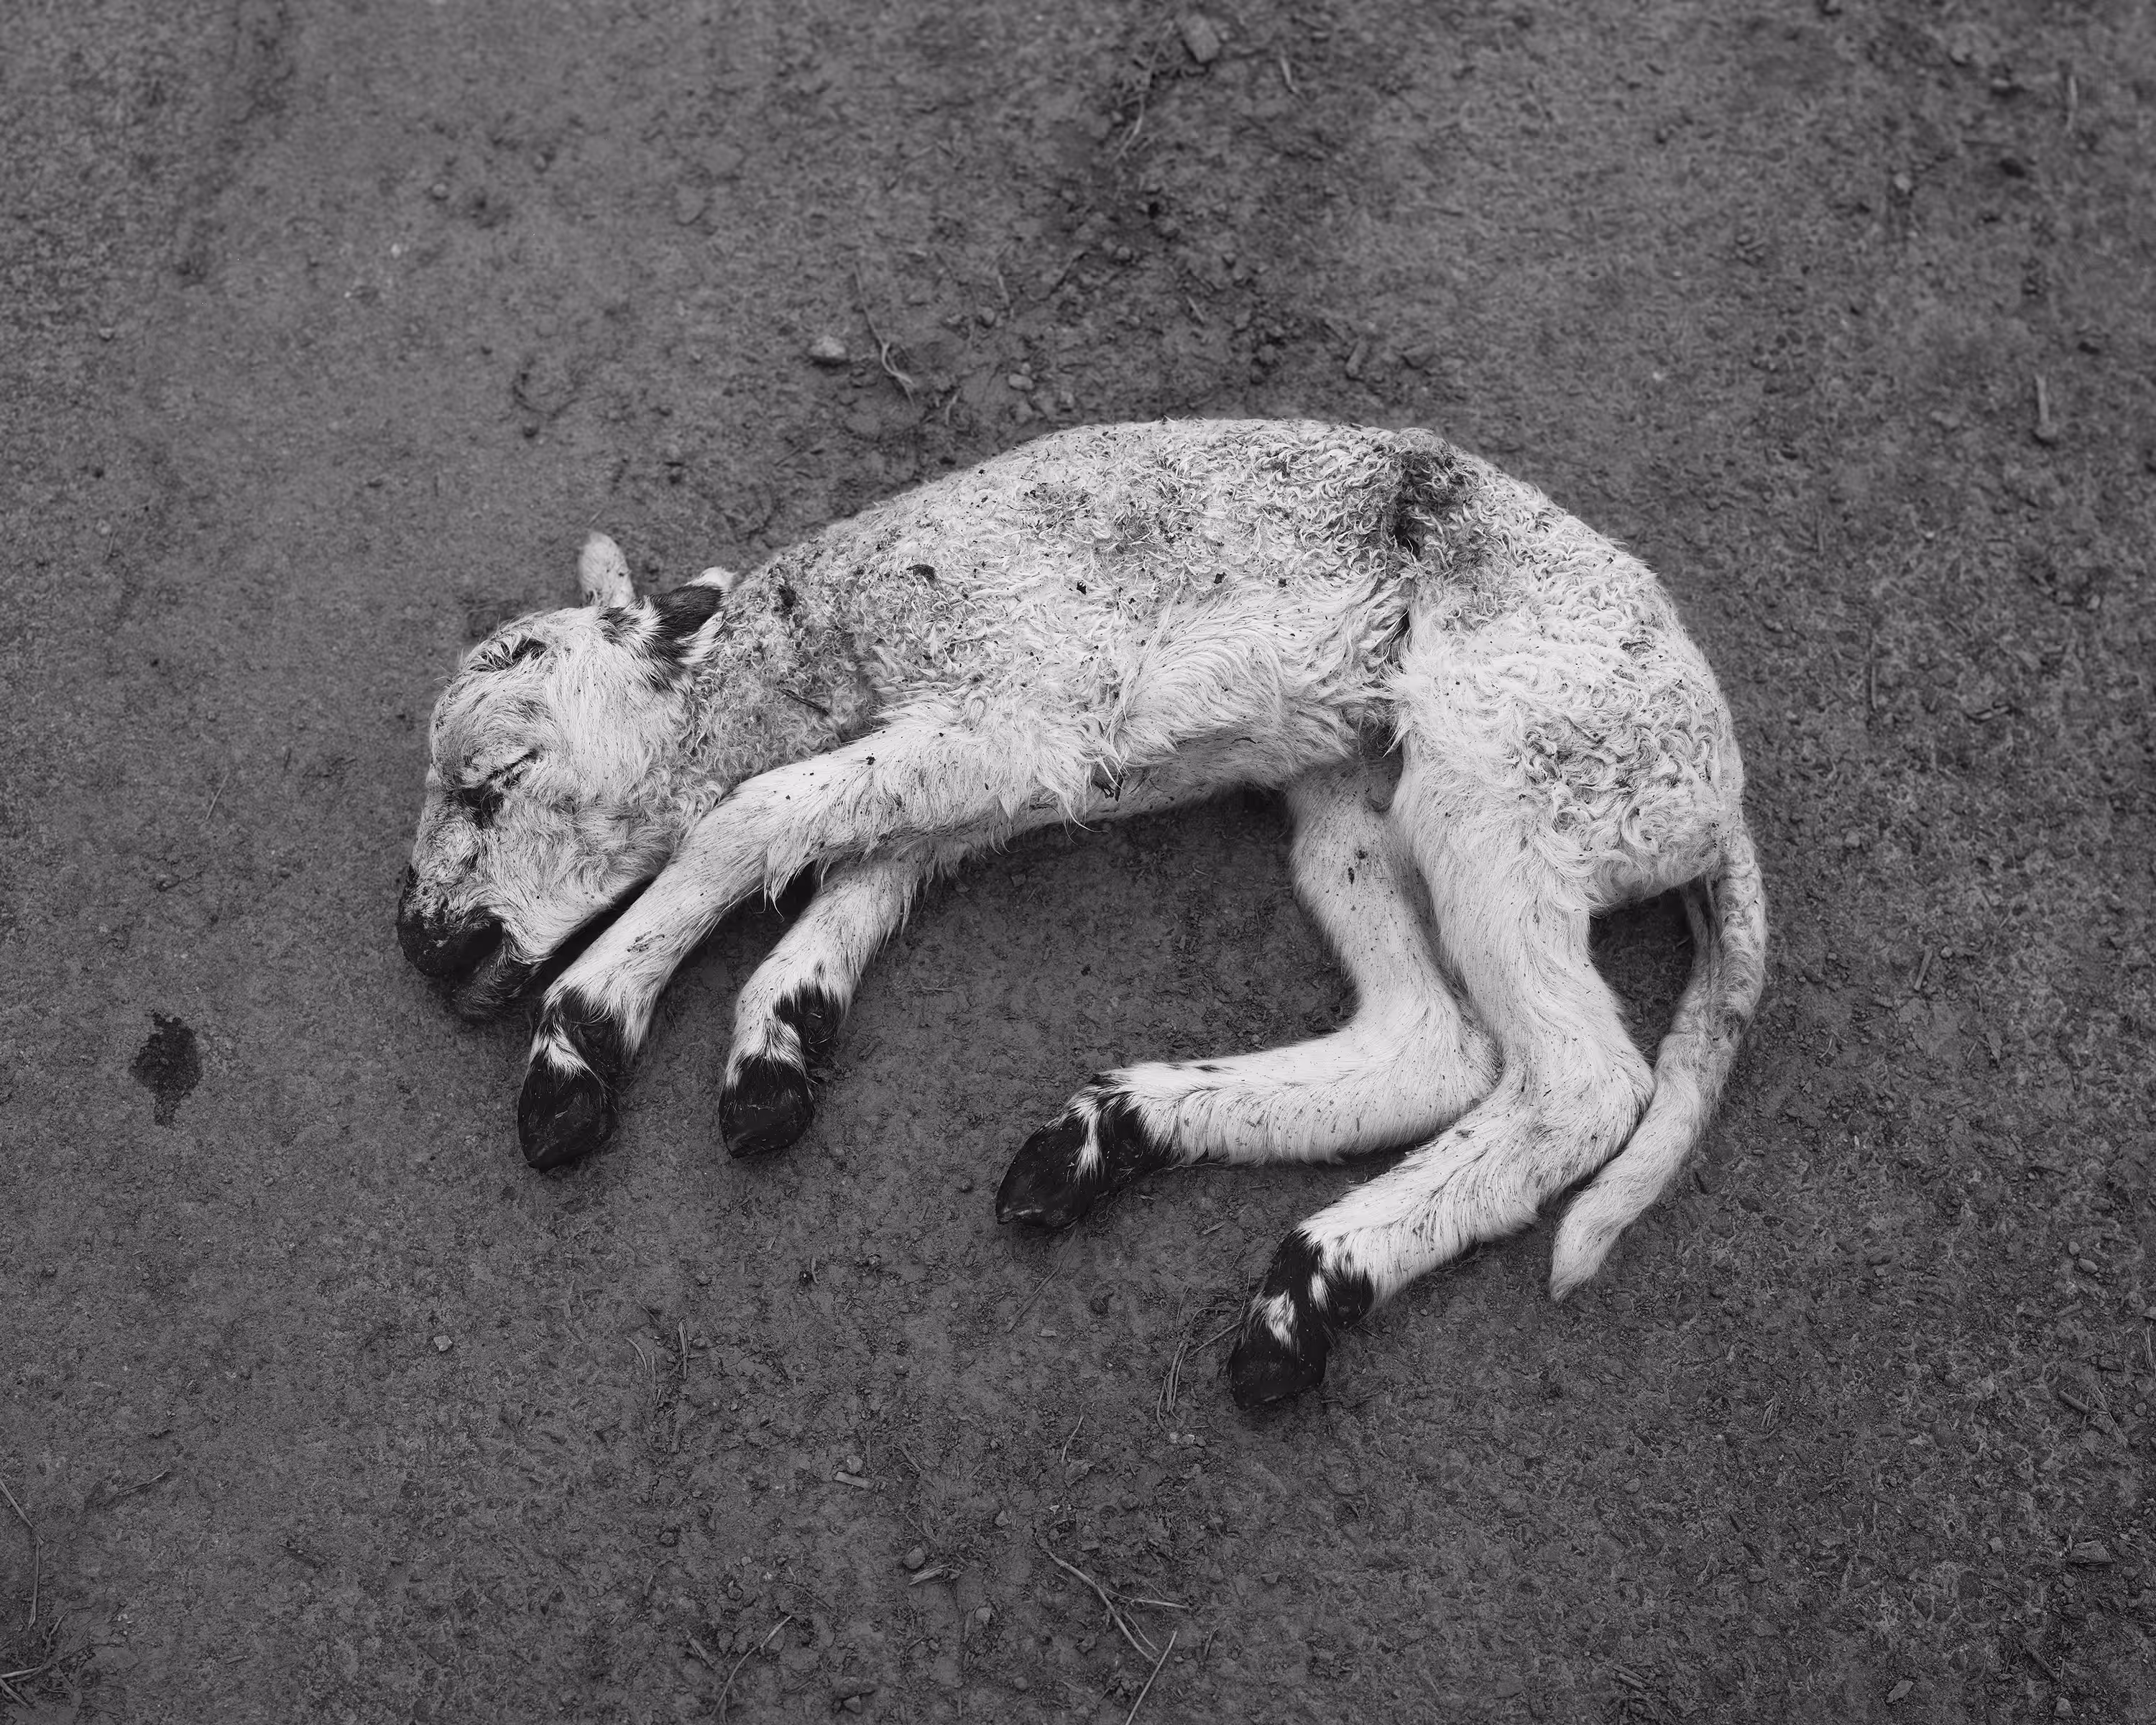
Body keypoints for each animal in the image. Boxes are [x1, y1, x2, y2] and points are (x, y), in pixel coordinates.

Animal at [397, 419, 1767, 1406]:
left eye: (490, 780)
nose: (417, 939)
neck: (840, 626)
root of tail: (1716, 793)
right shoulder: (1022, 760)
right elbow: (866, 857)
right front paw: (779, 1042)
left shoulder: (1017, 710)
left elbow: (745, 817)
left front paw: (584, 1037)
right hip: (1355, 791)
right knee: (1436, 1041)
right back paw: (1119, 1150)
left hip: (1508, 774)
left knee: (1580, 1081)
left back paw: (1301, 1288)